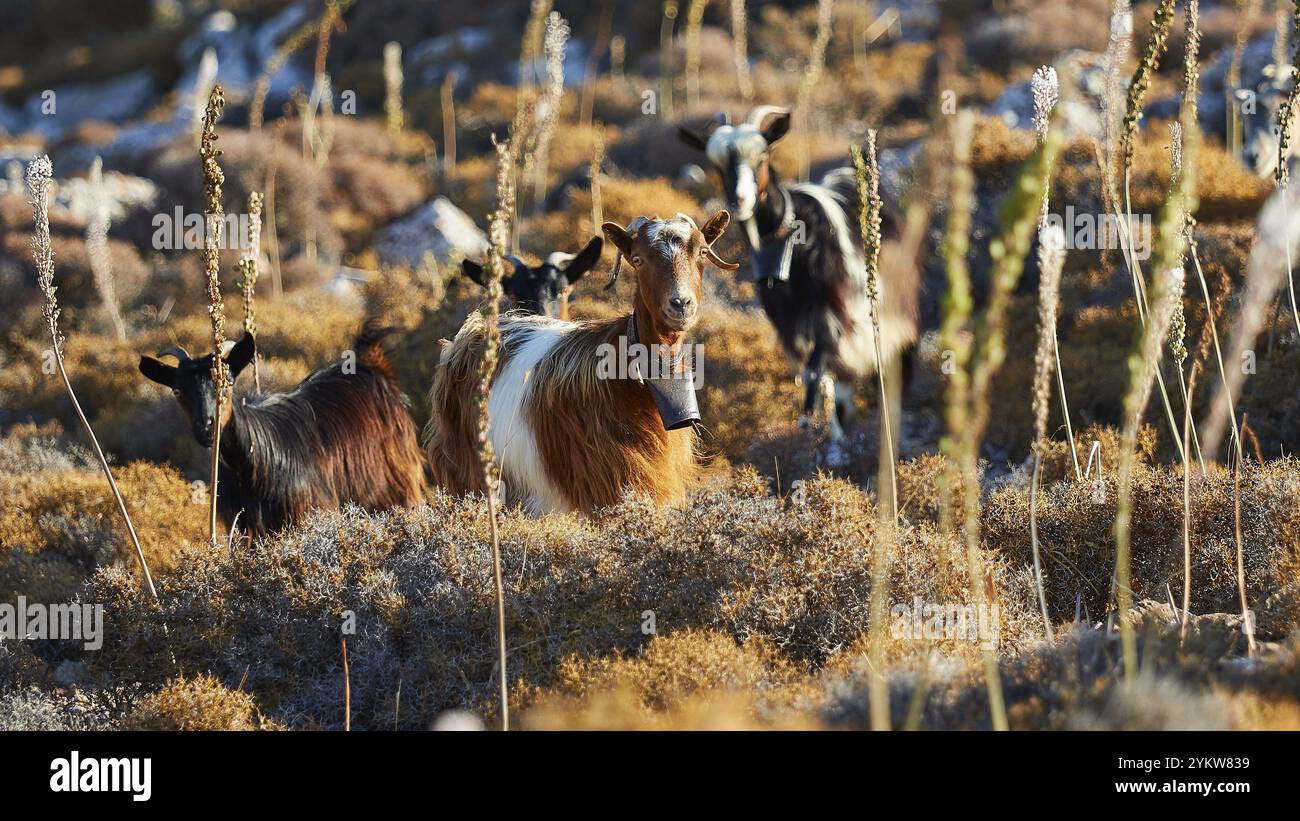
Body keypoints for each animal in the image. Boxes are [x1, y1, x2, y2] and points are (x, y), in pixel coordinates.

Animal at [140, 327, 428, 537]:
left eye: (228, 383)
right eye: (178, 391)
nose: (207, 427)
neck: (256, 462)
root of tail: (373, 366)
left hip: (397, 486)